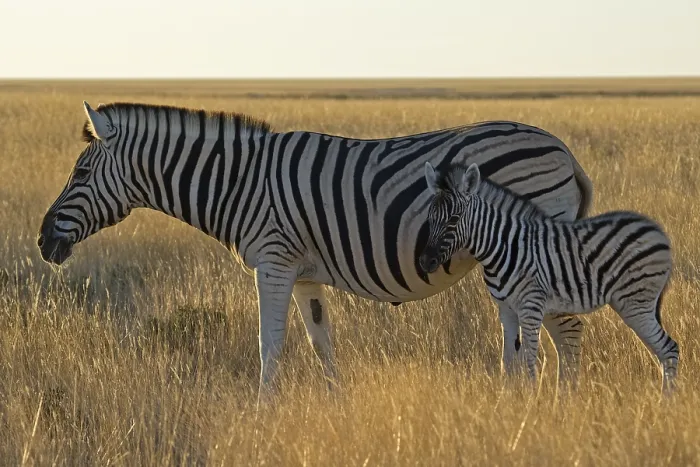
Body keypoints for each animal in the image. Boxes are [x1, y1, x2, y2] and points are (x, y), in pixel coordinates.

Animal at [37, 101, 593, 402]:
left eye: (81, 173)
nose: (43, 242)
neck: (238, 183)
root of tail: (565, 151)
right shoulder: (304, 272)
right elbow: (320, 341)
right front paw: (337, 403)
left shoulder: (273, 262)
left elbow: (271, 344)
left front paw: (263, 413)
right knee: (530, 334)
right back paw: (524, 402)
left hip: (532, 252)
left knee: (565, 333)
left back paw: (553, 409)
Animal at [419, 162, 678, 394]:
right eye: (430, 217)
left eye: (453, 219)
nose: (425, 262)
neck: (504, 246)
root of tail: (658, 230)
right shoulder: (506, 310)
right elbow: (507, 362)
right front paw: (508, 400)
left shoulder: (531, 306)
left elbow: (528, 361)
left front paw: (532, 403)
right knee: (664, 352)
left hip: (635, 302)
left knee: (669, 349)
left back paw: (666, 402)